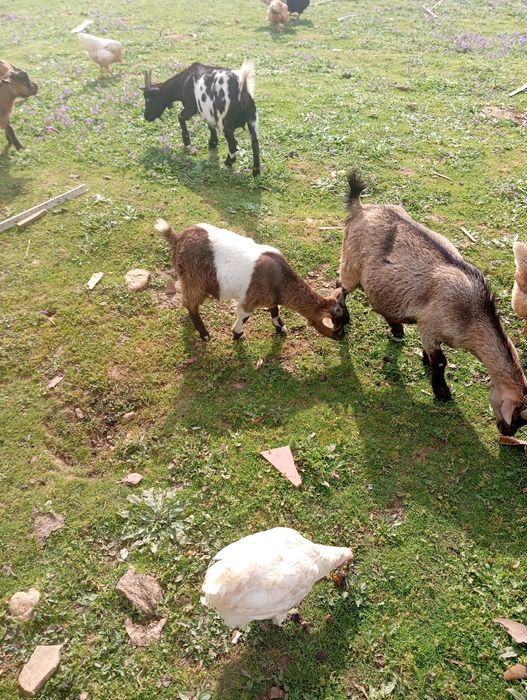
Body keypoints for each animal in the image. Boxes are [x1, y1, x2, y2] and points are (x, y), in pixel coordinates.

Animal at [155, 219, 350, 341]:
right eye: (336, 326)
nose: (342, 337)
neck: (280, 280)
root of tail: (177, 237)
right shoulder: (250, 298)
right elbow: (245, 316)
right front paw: (237, 335)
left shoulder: (271, 297)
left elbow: (275, 311)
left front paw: (280, 328)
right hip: (194, 279)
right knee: (191, 303)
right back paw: (204, 335)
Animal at [339, 171, 527, 436]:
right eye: (518, 418)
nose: (506, 432)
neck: (472, 314)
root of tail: (361, 208)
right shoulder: (430, 325)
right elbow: (440, 362)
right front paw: (442, 392)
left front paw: (424, 361)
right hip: (351, 264)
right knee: (340, 286)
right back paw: (342, 316)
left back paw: (397, 329)